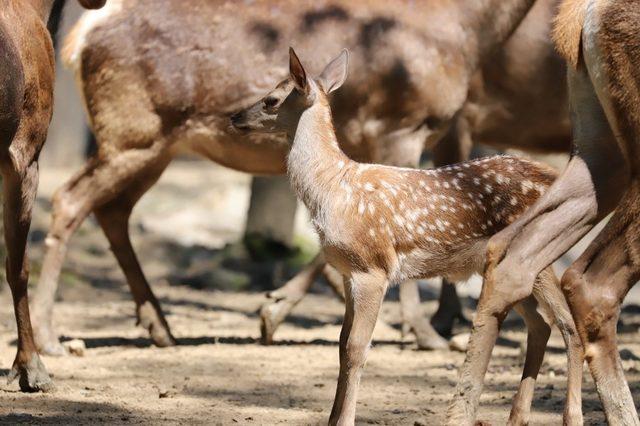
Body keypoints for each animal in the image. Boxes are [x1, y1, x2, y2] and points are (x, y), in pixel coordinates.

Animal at [30, 0, 552, 352]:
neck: (467, 31)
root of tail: (79, 38)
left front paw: (274, 309)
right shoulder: (400, 126)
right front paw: (425, 333)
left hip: (155, 146)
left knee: (112, 210)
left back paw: (159, 326)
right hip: (134, 129)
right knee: (70, 199)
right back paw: (49, 336)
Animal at [231, 48, 584, 426]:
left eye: (271, 100)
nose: (234, 116)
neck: (333, 189)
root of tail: (549, 176)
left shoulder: (372, 269)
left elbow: (357, 348)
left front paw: (345, 419)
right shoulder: (348, 273)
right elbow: (341, 344)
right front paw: (331, 418)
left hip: (538, 255)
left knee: (568, 325)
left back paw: (571, 416)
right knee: (541, 324)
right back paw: (517, 417)